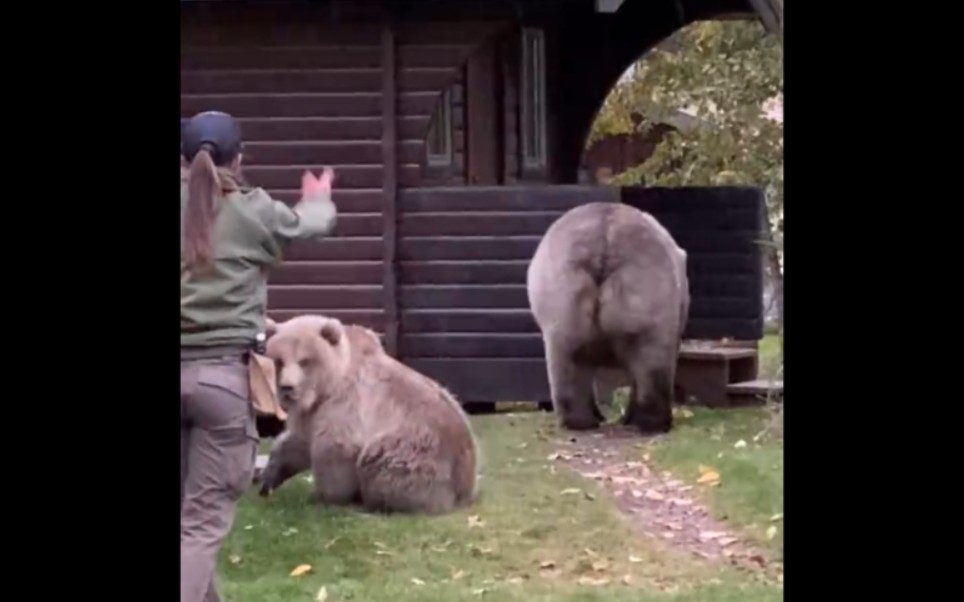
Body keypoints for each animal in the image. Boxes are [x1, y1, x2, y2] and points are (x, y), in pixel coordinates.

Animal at [260, 312, 482, 512]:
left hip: (418, 453)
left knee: (380, 463)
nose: (287, 388)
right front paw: (269, 478)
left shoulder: (347, 403)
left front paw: (324, 496)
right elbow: (297, 443)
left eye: (305, 361)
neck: (327, 386)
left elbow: (334, 447)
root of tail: (464, 491)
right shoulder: (312, 413)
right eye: (279, 360)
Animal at [524, 200, 688, 432]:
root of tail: (604, 238)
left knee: (569, 355)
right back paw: (653, 421)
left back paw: (579, 419)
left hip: (563, 284)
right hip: (646, 282)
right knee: (651, 355)